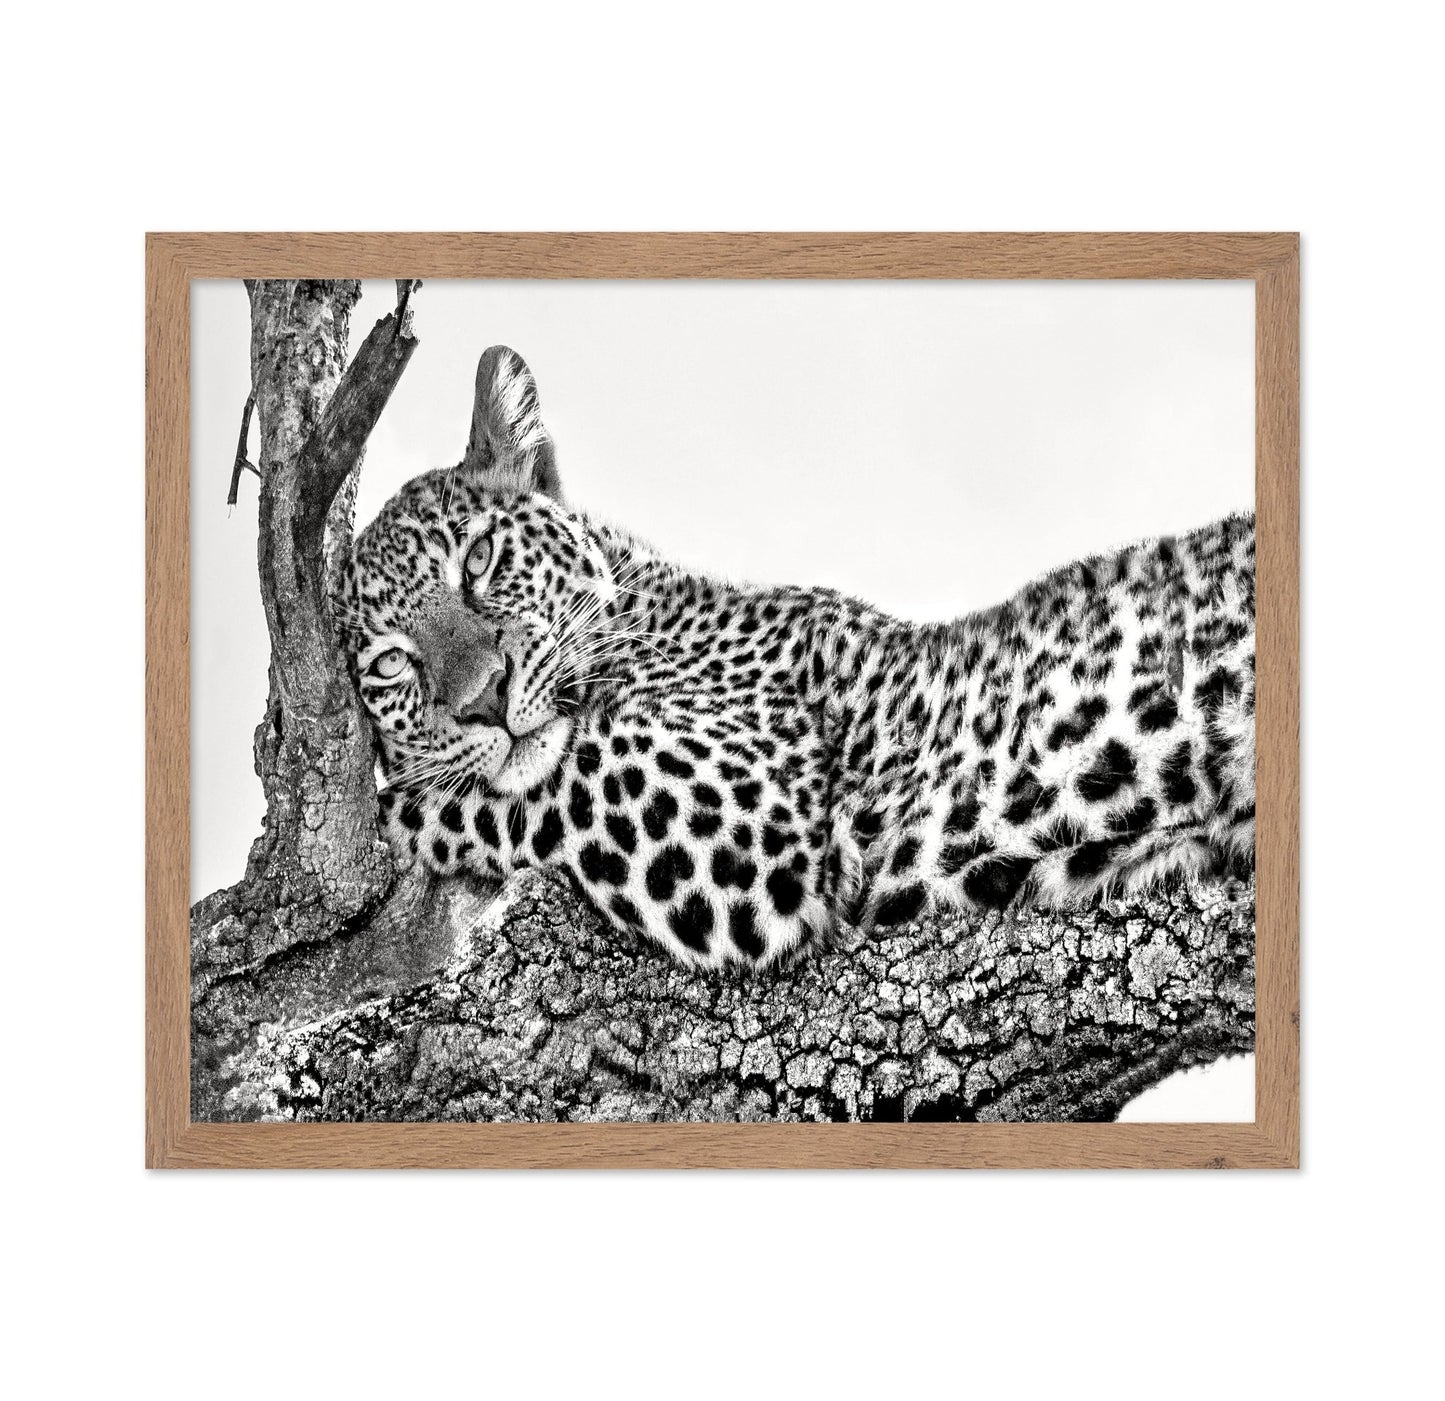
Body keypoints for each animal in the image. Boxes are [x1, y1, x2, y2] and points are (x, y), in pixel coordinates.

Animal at [342, 344, 1256, 970]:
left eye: (480, 559)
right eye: (389, 664)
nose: (484, 699)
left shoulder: (745, 817)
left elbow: (517, 790)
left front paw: (393, 807)